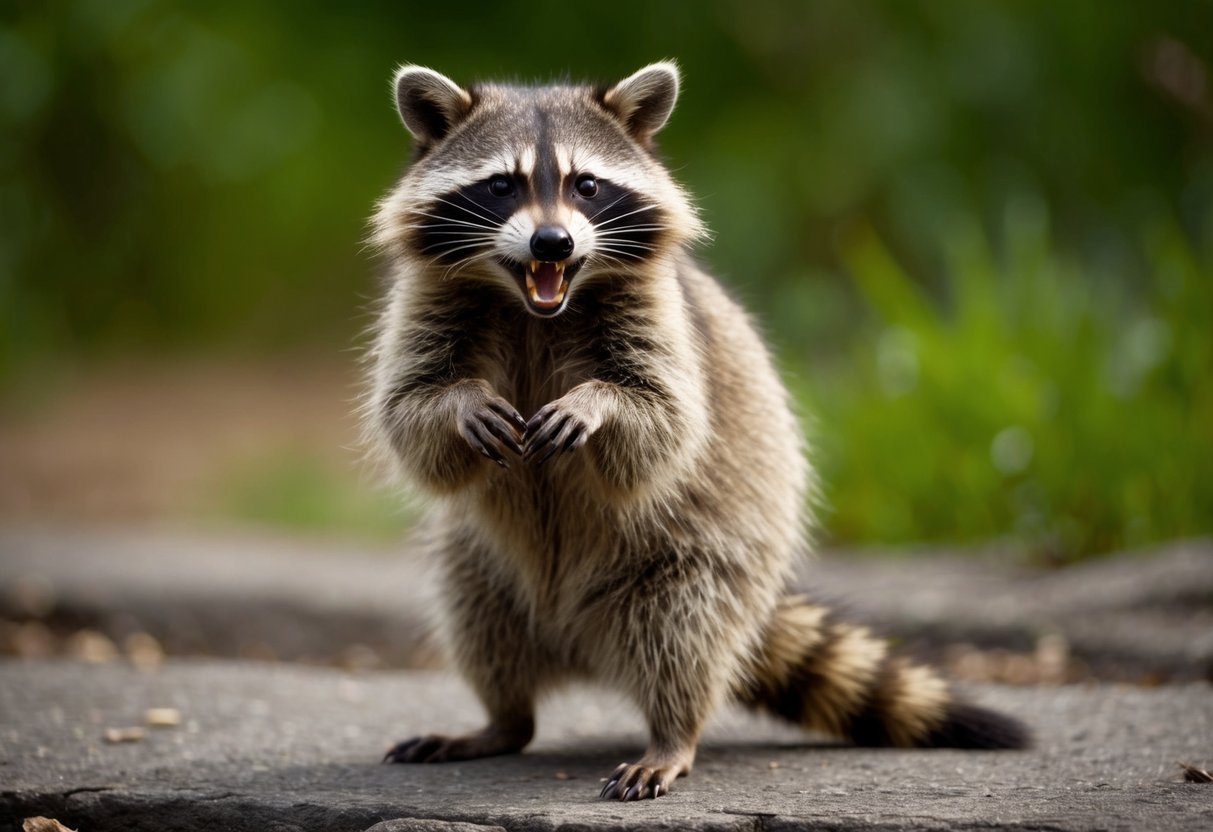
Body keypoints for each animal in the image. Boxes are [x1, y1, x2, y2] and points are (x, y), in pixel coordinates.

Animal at [365, 62, 1028, 801]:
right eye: (501, 185)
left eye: (585, 185)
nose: (551, 243)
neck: (534, 304)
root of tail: (576, 643)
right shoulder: (428, 300)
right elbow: (408, 415)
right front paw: (461, 401)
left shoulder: (663, 316)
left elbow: (666, 422)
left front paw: (598, 403)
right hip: (482, 566)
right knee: (478, 621)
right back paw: (502, 720)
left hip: (700, 560)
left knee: (683, 635)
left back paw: (671, 733)